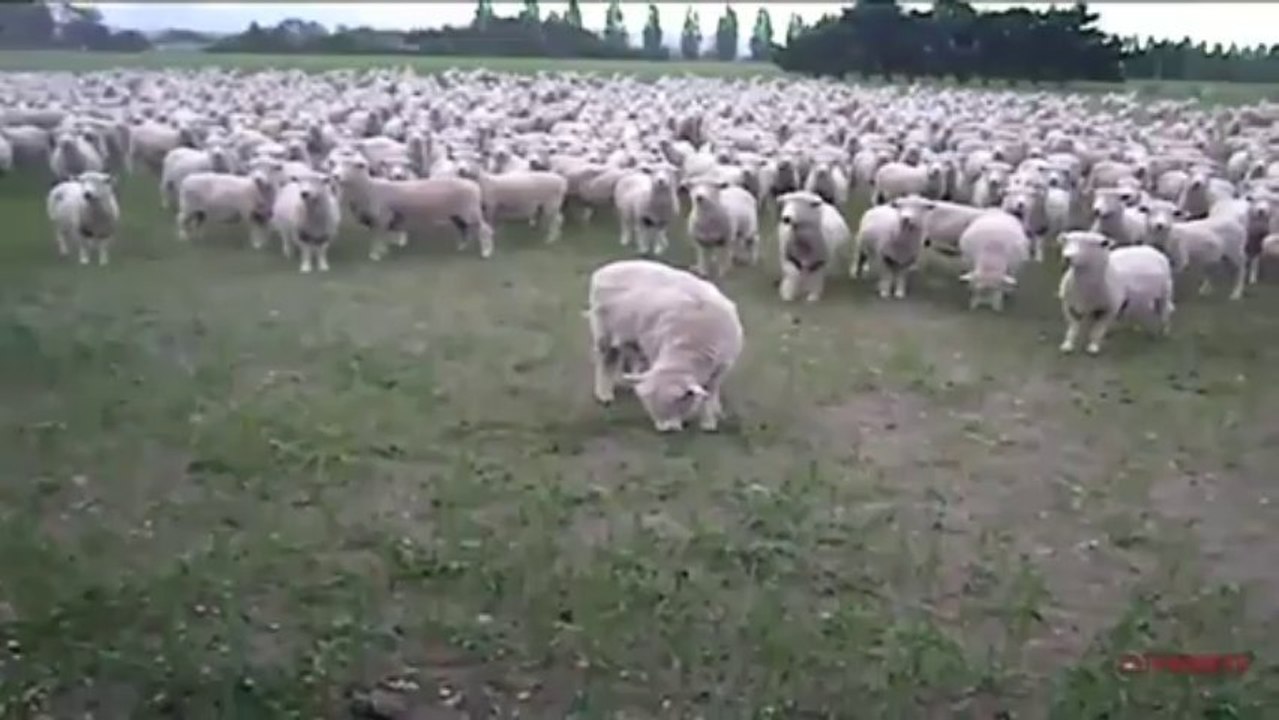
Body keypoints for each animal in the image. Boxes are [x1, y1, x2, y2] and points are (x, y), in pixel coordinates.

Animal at [335, 155, 493, 261]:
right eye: (337, 164)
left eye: (355, 165)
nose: (335, 176)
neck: (370, 188)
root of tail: (473, 185)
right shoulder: (381, 220)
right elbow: (382, 236)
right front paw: (383, 251)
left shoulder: (382, 218)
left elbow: (377, 237)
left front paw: (375, 255)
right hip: (457, 214)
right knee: (463, 229)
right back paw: (462, 247)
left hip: (471, 212)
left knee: (485, 230)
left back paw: (486, 253)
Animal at [585, 258, 743, 433]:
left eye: (678, 401)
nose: (667, 430)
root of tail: (606, 269)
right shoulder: (655, 350)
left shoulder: (722, 368)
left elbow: (711, 393)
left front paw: (710, 420)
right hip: (604, 330)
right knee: (606, 361)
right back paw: (604, 394)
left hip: (631, 336)